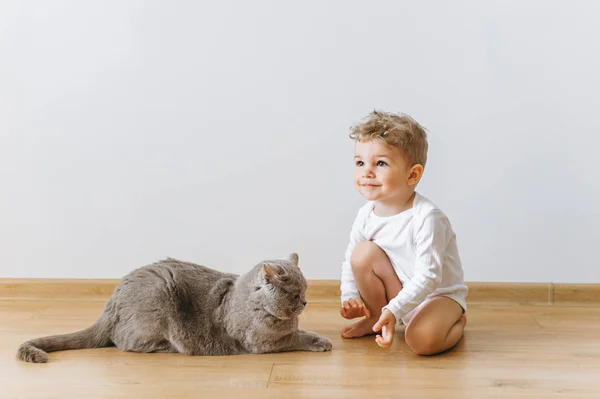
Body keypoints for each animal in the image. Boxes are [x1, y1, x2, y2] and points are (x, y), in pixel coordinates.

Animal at [17, 255, 332, 364]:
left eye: (306, 292)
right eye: (295, 294)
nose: (305, 303)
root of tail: (111, 302)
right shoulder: (263, 343)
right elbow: (297, 337)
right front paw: (321, 341)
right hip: (159, 296)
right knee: (126, 342)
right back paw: (172, 347)